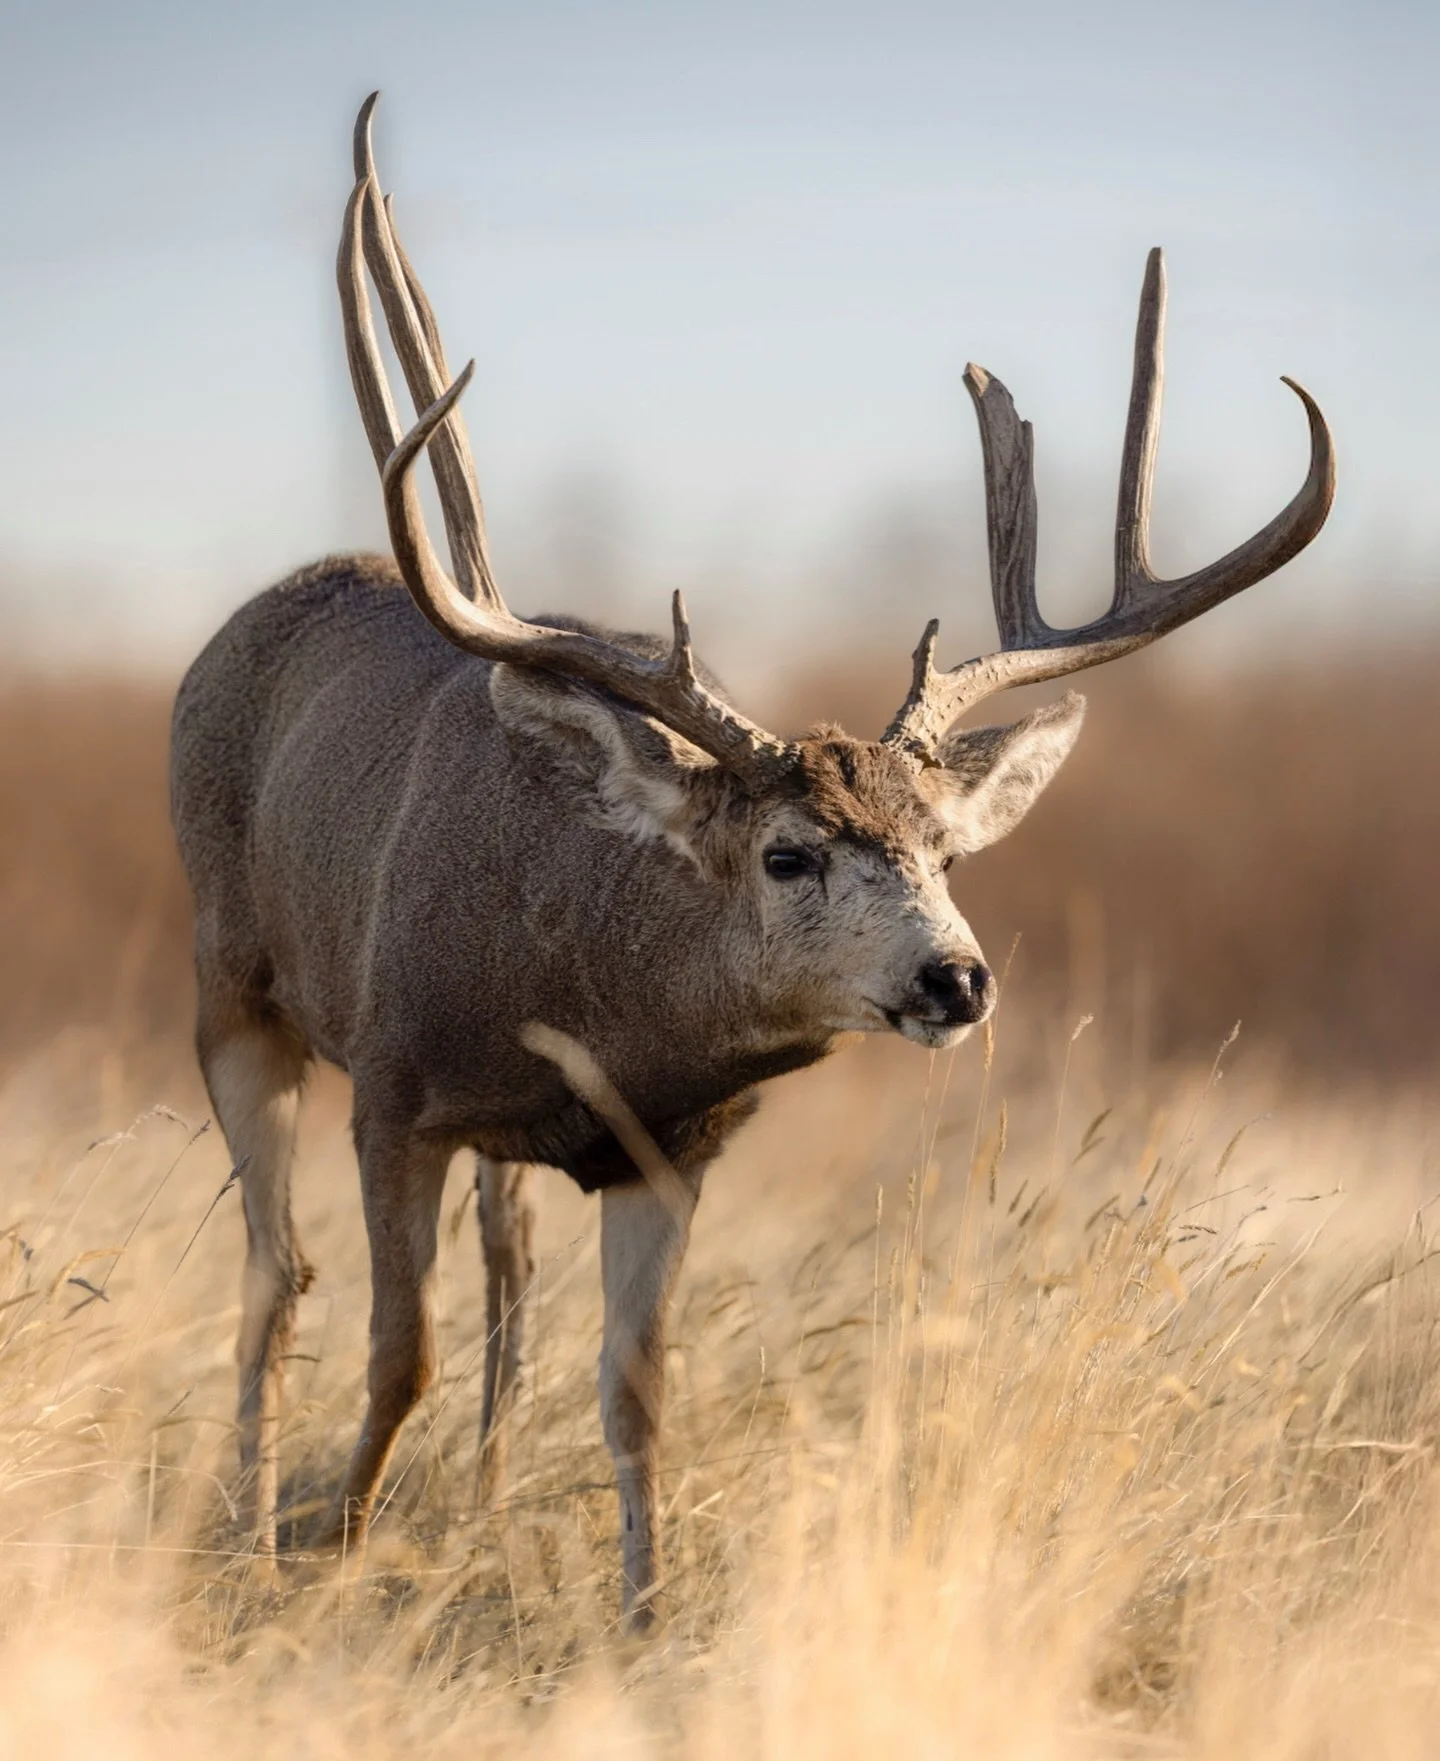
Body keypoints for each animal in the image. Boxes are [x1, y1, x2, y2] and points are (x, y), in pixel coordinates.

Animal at [169, 94, 1333, 1630]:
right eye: (789, 854)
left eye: (946, 848)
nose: (958, 979)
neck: (593, 988)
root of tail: (242, 625)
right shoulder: (396, 1090)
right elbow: (393, 1350)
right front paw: (330, 1567)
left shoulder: (668, 1147)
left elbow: (636, 1390)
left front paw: (645, 1619)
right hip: (231, 983)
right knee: (274, 1270)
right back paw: (249, 1528)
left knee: (502, 1274)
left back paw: (471, 1506)